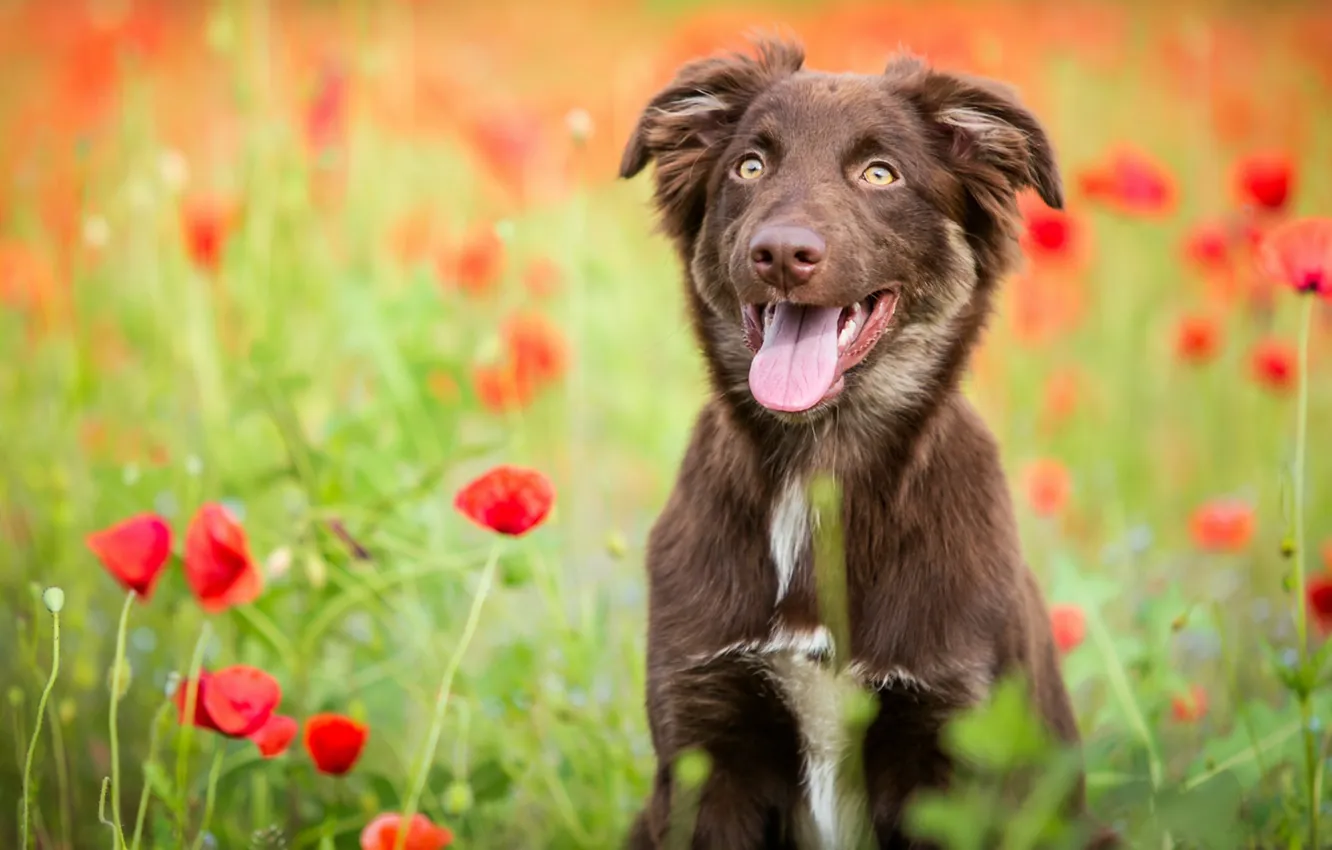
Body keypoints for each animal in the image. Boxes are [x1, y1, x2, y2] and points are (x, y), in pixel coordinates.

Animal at [618, 36, 1086, 847]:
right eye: (750, 166)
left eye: (879, 174)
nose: (781, 254)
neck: (820, 466)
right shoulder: (705, 753)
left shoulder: (953, 758)